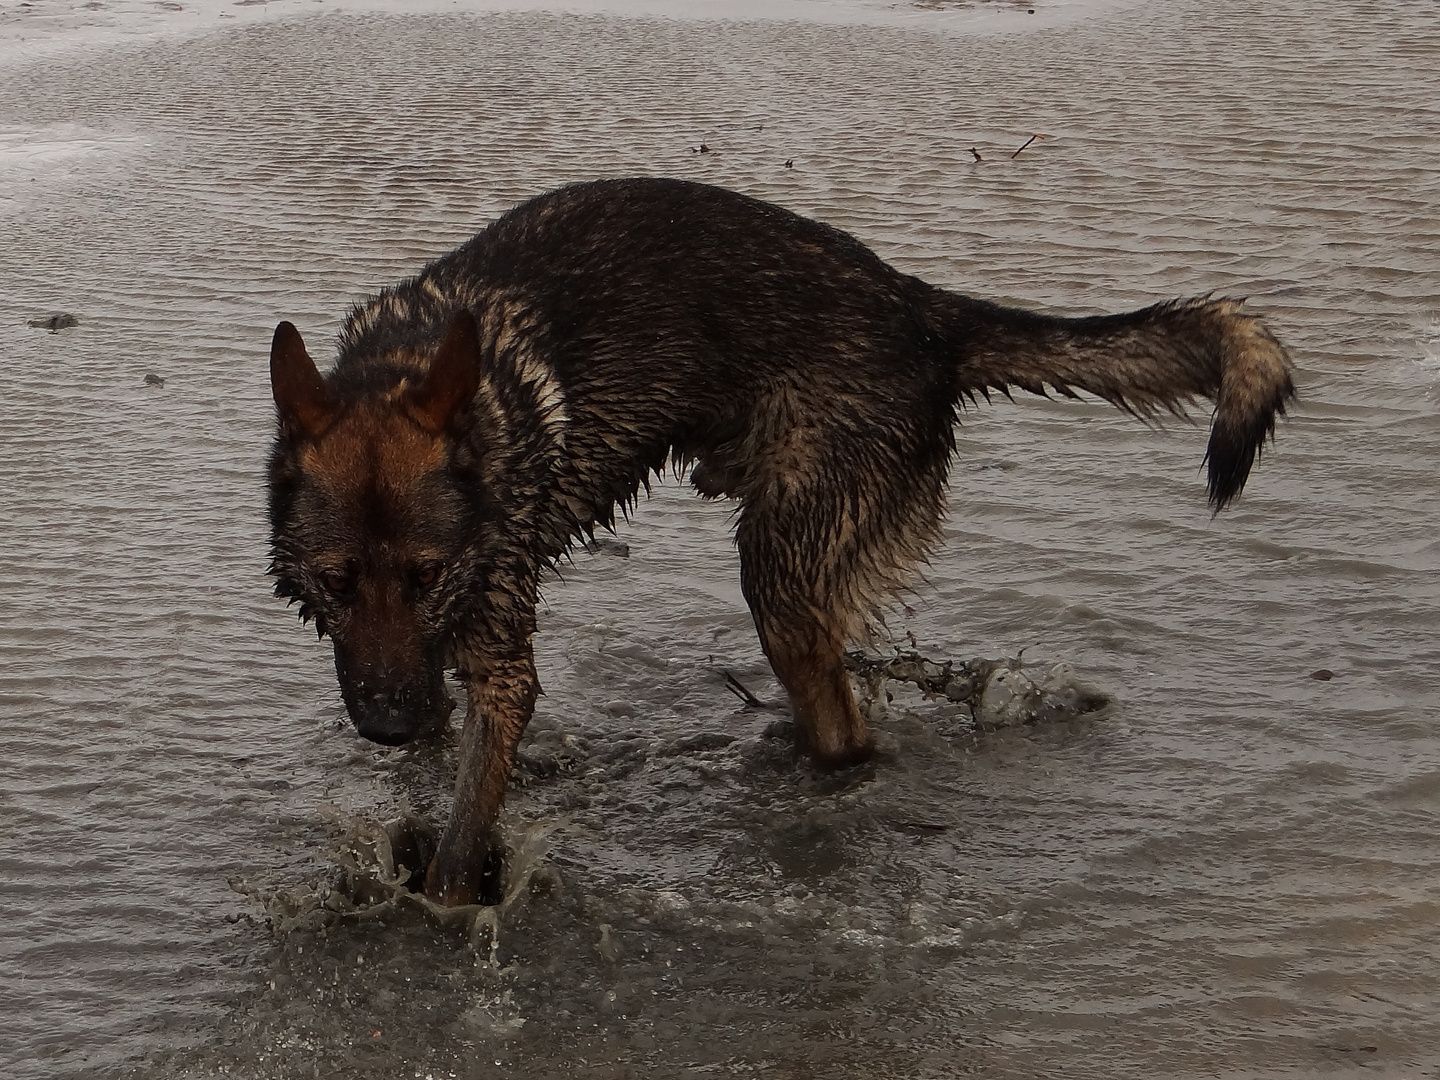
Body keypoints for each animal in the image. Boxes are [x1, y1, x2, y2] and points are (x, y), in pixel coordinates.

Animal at [267, 175, 1296, 904]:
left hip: (782, 575)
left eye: (428, 573)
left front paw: (437, 904)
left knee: (845, 728)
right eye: (335, 581)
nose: (387, 728)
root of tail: (922, 313)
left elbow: (463, 834)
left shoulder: (498, 657)